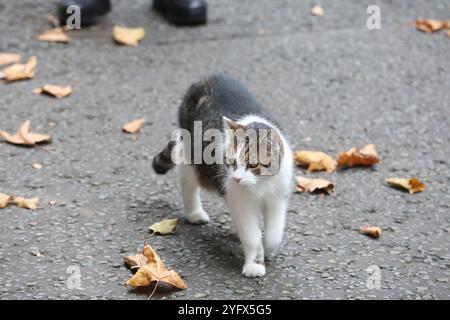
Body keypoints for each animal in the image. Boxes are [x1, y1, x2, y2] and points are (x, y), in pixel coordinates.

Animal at [153, 74, 294, 276]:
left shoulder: (278, 197)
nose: (236, 178)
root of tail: (208, 77)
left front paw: (266, 248)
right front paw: (255, 264)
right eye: (231, 162)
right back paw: (194, 213)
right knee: (187, 182)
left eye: (253, 165)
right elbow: (251, 235)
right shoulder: (240, 201)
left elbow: (275, 235)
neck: (261, 184)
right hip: (191, 153)